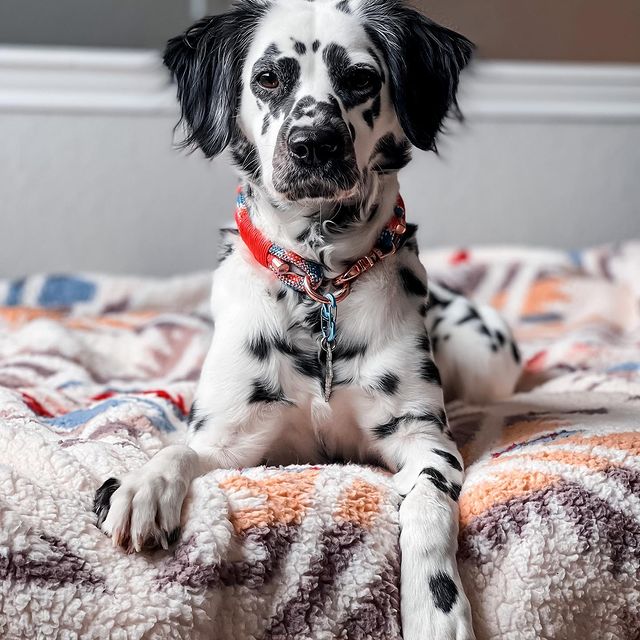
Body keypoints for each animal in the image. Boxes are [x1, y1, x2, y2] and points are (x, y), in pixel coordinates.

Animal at [95, 2, 524, 636]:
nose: (313, 143)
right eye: (269, 77)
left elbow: (428, 511)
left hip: (484, 359)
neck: (318, 289)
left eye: (361, 78)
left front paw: (437, 607)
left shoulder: (426, 442)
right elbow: (181, 451)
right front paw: (145, 484)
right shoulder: (231, 437)